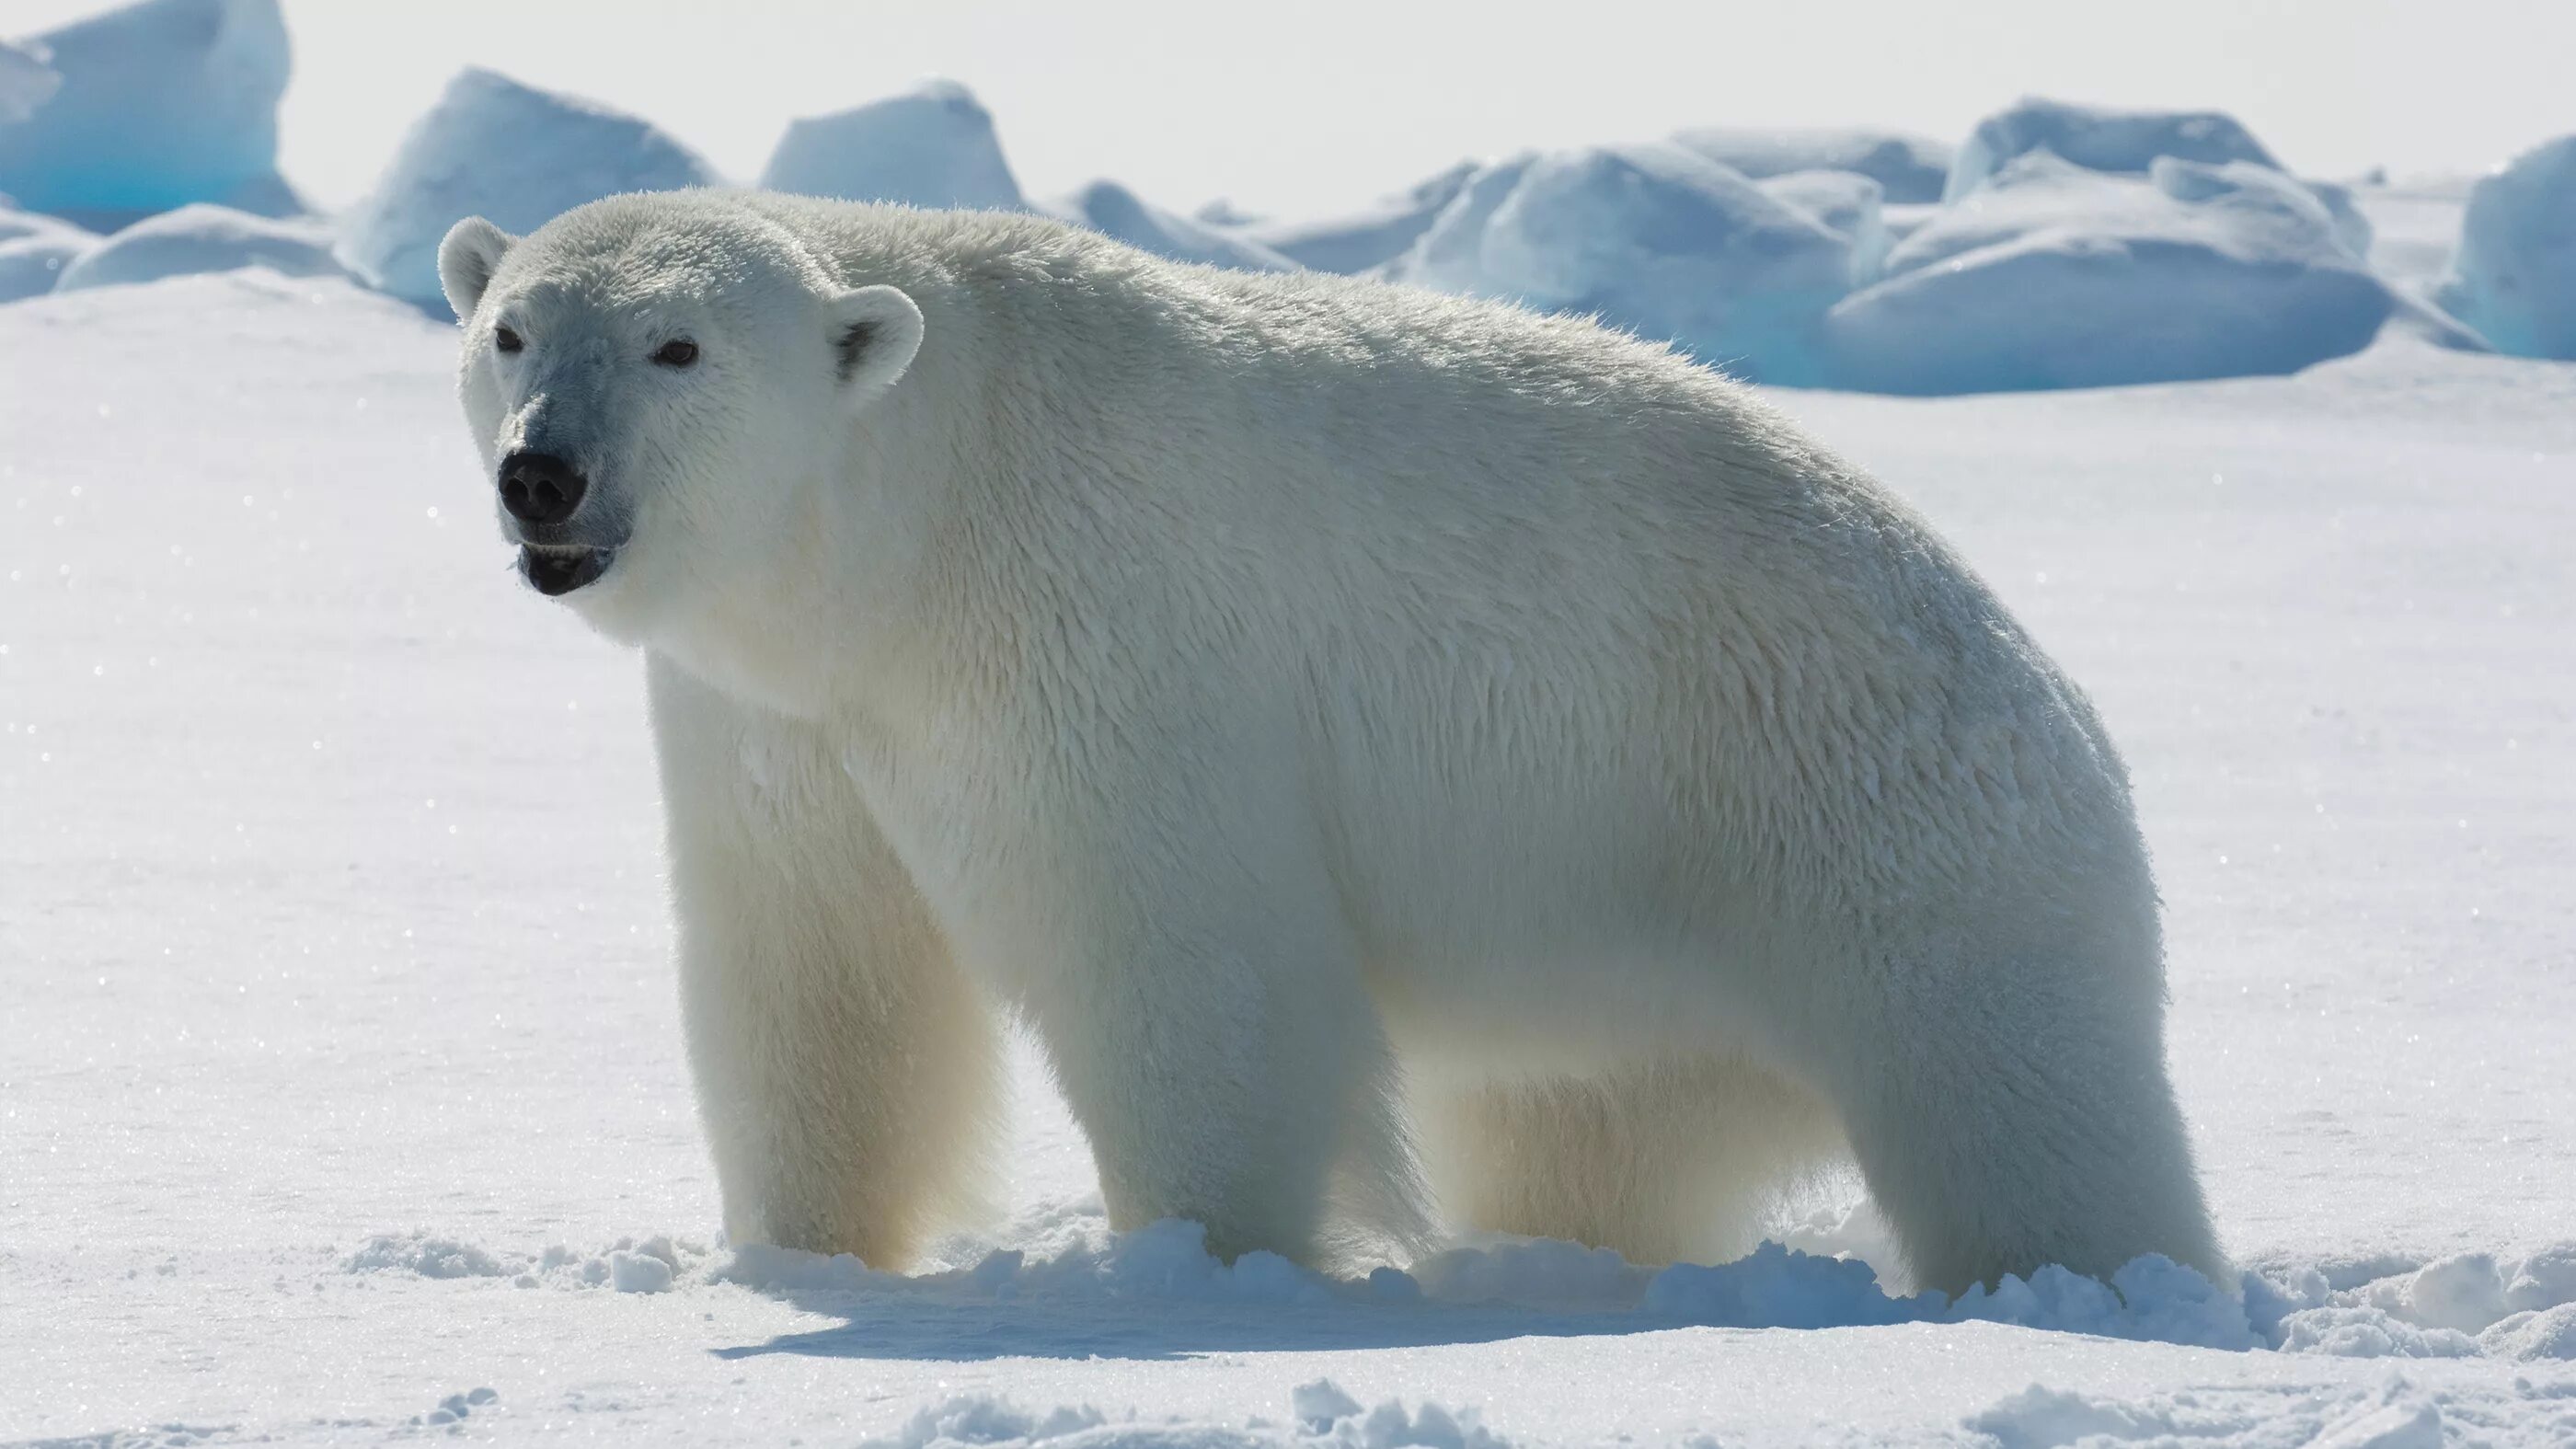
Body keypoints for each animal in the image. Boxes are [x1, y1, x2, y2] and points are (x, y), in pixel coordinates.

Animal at [438, 191, 2215, 1283]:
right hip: (1623, 980)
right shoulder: (787, 713)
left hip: (1869, 826)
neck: (916, 515)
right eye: (513, 328)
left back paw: (2091, 1281)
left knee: (2019, 1107)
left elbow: (1179, 950)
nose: (545, 475)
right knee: (1589, 1140)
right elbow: (818, 963)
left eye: (678, 345)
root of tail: (2060, 702)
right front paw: (799, 1251)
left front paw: (1204, 1264)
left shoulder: (1096, 630)